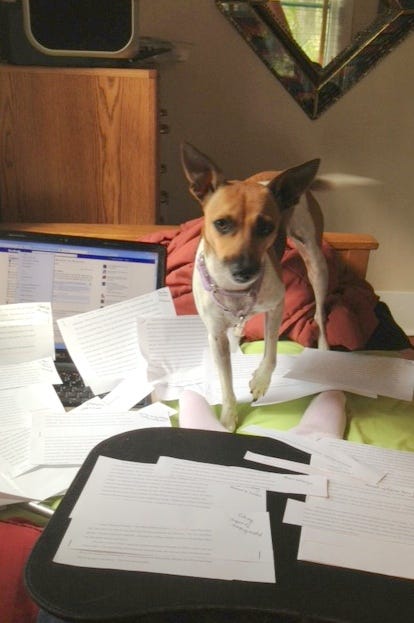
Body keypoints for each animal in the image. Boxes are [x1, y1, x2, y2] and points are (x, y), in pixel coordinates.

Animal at [182, 143, 340, 432]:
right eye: (221, 223)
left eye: (267, 227)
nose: (244, 270)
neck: (234, 290)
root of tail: (279, 172)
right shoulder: (216, 336)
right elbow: (226, 381)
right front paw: (228, 417)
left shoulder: (277, 305)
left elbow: (271, 351)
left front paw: (260, 381)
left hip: (315, 261)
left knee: (319, 314)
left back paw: (324, 348)